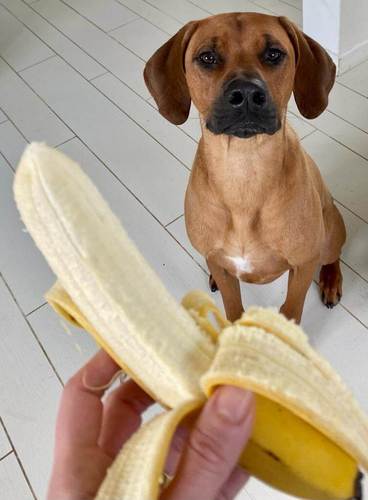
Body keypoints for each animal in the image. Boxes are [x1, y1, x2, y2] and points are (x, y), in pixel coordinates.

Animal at [143, 13, 344, 324]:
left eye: (273, 53)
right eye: (207, 57)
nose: (247, 93)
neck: (244, 171)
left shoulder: (303, 264)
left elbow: (291, 310)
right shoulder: (221, 263)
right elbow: (232, 306)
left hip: (330, 233)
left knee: (332, 256)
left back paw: (331, 280)